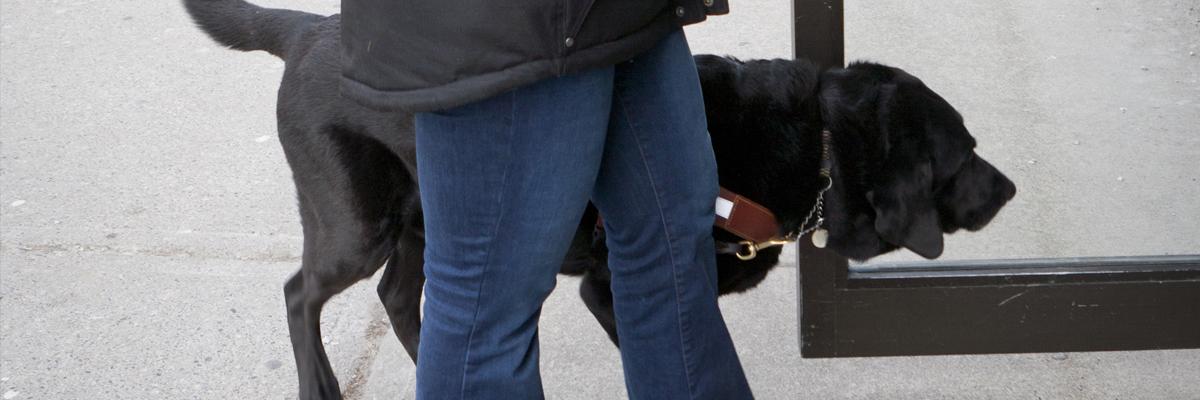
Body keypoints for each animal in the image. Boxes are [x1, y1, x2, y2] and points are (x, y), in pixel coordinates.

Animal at [187, 1, 1012, 396]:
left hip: (436, 222)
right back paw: (319, 385)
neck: (821, 148)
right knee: (300, 292)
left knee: (398, 297)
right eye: (964, 153)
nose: (1009, 187)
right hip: (359, 222)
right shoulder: (616, 288)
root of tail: (306, 32)